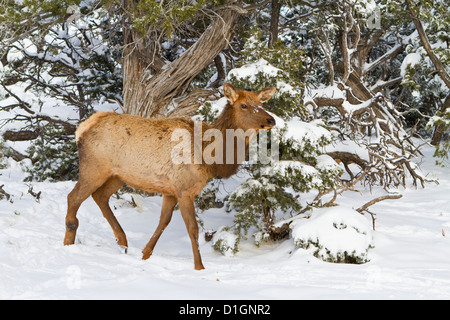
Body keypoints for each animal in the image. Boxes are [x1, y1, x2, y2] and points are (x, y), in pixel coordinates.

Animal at [62, 83, 274, 270]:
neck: (210, 157)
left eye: (261, 103)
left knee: (100, 196)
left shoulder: (170, 190)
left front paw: (145, 254)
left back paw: (122, 241)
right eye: (244, 105)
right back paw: (68, 244)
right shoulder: (184, 189)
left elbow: (163, 221)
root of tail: (82, 128)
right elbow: (192, 228)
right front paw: (199, 266)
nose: (271, 120)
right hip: (94, 168)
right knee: (74, 197)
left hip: (117, 175)